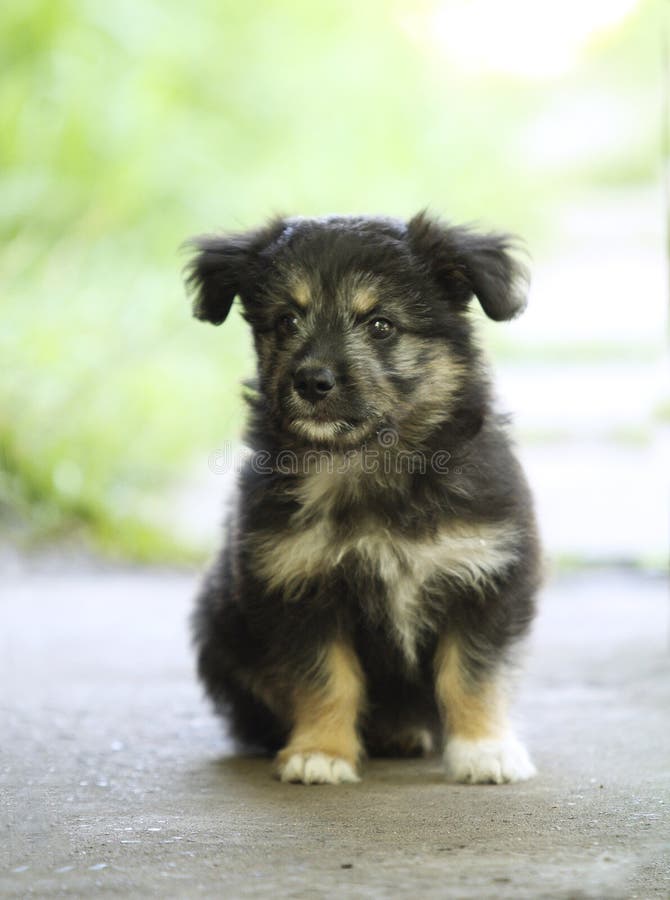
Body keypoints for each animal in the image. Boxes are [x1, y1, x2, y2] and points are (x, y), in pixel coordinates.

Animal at [186, 214, 544, 784]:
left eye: (381, 325)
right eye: (286, 320)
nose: (312, 381)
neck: (368, 463)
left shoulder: (486, 575)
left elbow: (472, 673)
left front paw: (484, 748)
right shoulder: (296, 585)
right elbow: (325, 678)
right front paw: (320, 751)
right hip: (218, 624)